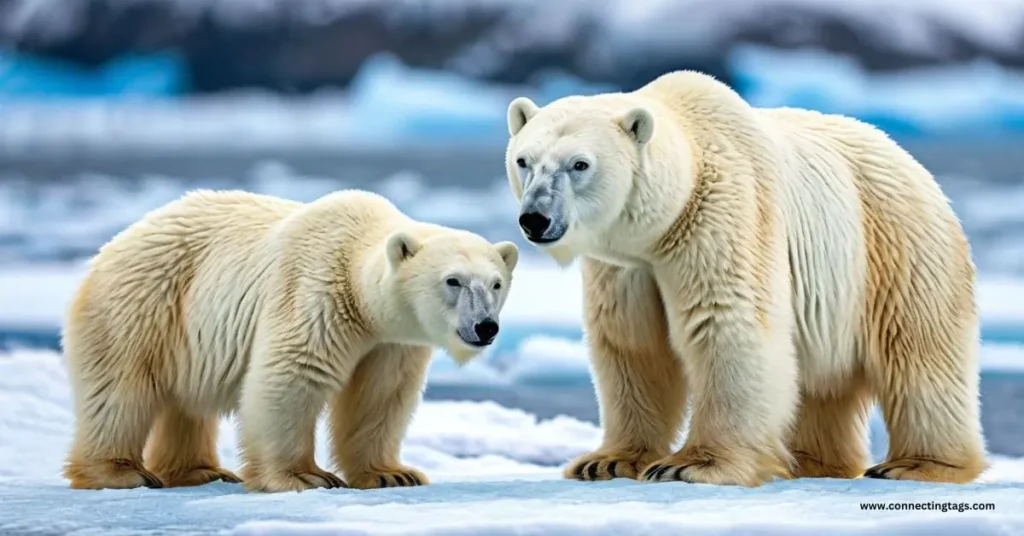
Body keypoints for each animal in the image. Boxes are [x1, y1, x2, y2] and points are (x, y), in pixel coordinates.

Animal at [61, 189, 520, 496]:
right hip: (145, 302)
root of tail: (113, 244)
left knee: (185, 405)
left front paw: (393, 473)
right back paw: (121, 472)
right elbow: (293, 375)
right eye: (453, 281)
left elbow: (381, 396)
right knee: (121, 388)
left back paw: (202, 471)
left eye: (497, 283)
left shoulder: (390, 341)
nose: (485, 327)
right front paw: (305, 477)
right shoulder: (316, 291)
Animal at [503, 70, 983, 485]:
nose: (535, 218)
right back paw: (809, 461)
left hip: (891, 243)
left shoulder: (721, 213)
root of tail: (909, 160)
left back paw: (916, 465)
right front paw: (605, 462)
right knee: (820, 383)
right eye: (524, 160)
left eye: (580, 164)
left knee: (918, 351)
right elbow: (632, 343)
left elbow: (725, 322)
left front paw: (690, 465)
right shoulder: (627, 265)